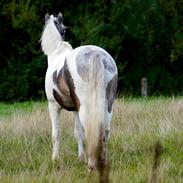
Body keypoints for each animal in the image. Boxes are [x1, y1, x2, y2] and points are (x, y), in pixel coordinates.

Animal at [40, 12, 117, 170]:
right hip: (107, 105)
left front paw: (55, 159)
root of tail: (95, 54)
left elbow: (56, 133)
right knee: (105, 130)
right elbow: (78, 132)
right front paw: (80, 158)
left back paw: (92, 165)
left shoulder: (53, 106)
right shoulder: (75, 108)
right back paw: (103, 163)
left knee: (91, 129)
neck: (57, 53)